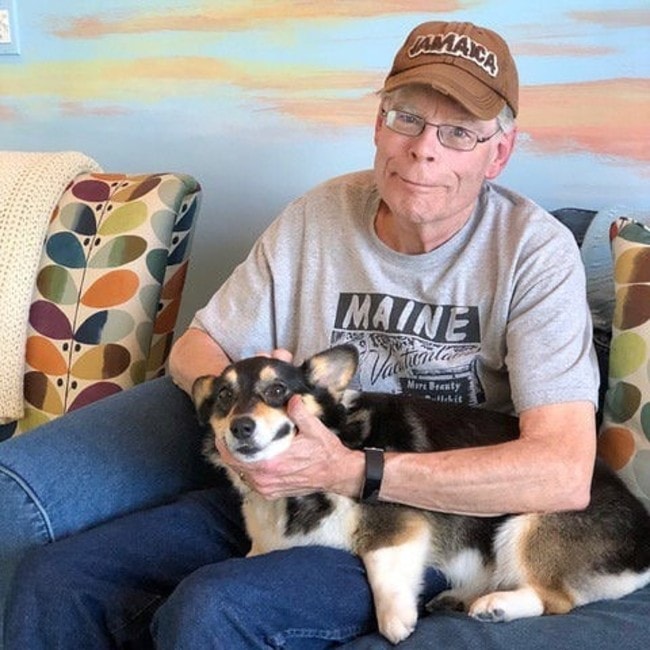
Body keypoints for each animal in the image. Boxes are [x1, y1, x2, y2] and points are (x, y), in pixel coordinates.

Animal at [192, 344, 648, 644]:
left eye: (277, 392)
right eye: (224, 397)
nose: (242, 427)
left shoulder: (394, 523)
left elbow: (382, 562)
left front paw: (395, 620)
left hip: (526, 524)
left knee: (556, 599)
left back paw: (495, 606)